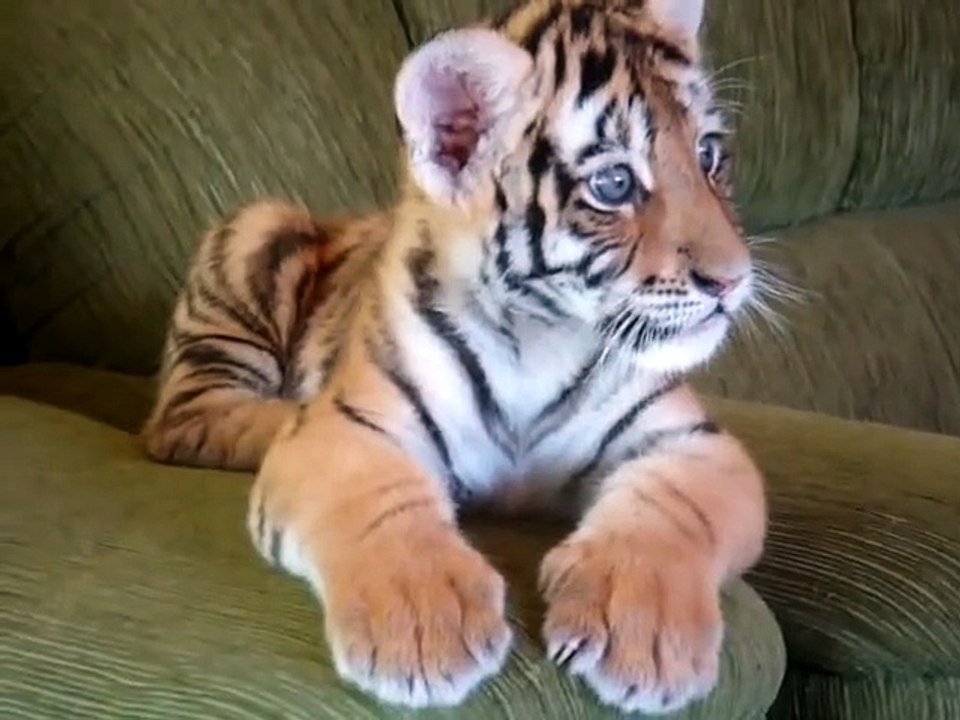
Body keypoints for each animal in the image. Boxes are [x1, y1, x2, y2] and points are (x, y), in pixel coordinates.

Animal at [141, 0, 769, 714]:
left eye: (709, 154)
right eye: (613, 183)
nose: (733, 280)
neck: (539, 334)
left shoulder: (697, 443)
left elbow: (670, 509)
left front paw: (641, 633)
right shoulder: (347, 430)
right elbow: (379, 500)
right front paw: (423, 628)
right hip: (259, 231)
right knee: (185, 420)